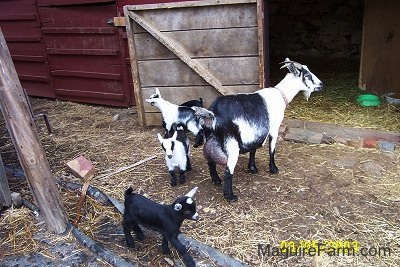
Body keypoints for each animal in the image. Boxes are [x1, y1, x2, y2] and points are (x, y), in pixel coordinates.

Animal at [193, 58, 322, 201]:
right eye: (308, 75)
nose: (321, 84)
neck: (281, 95)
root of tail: (212, 113)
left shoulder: (255, 131)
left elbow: (253, 149)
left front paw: (252, 168)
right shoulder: (274, 127)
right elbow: (272, 148)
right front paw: (273, 169)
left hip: (210, 138)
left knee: (210, 161)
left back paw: (216, 180)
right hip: (231, 143)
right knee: (228, 171)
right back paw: (230, 196)